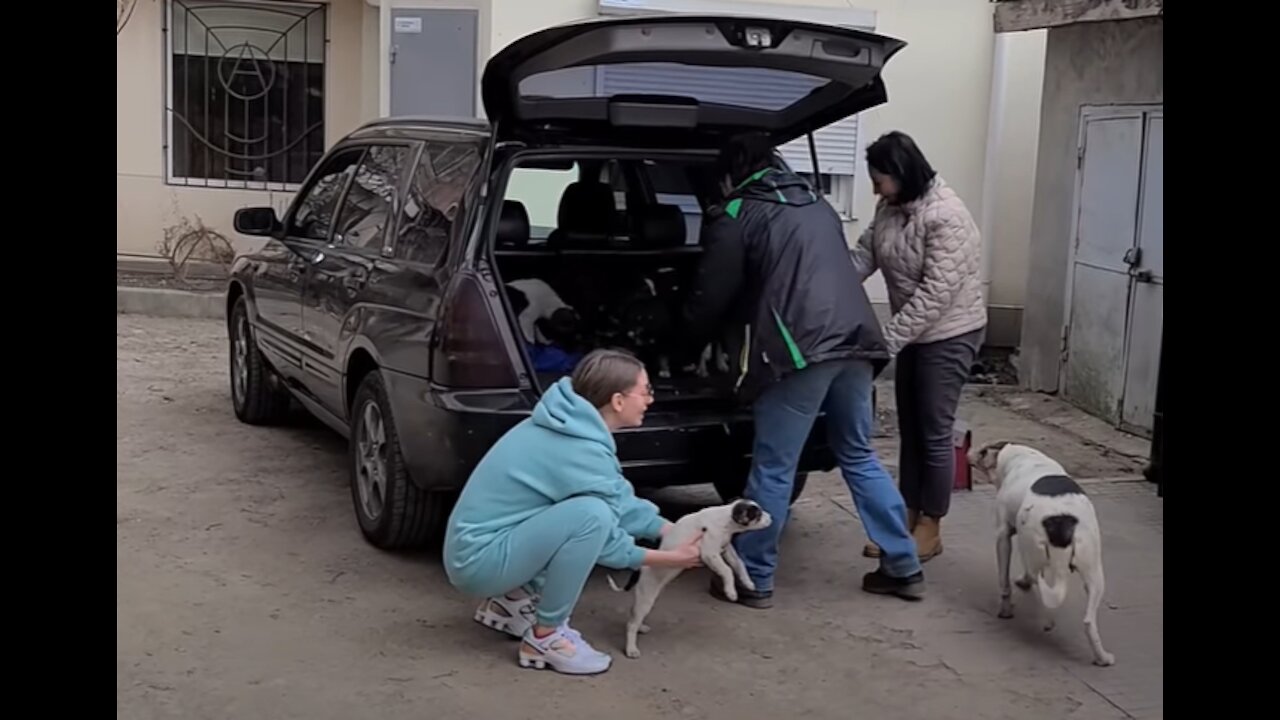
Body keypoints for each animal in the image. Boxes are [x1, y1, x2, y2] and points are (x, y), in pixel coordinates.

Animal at [606, 499, 773, 655]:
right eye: (757, 515)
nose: (771, 517)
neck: (725, 519)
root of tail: (640, 568)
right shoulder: (709, 553)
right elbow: (727, 571)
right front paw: (731, 592)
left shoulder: (726, 550)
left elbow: (739, 564)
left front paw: (748, 582)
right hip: (646, 596)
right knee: (631, 624)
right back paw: (631, 649)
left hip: (649, 597)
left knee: (634, 616)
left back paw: (641, 627)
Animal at [972, 440, 1116, 666]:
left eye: (982, 451)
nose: (968, 453)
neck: (1018, 457)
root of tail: (1062, 521)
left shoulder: (1003, 536)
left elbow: (1004, 583)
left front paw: (1006, 609)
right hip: (1094, 571)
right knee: (1087, 621)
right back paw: (1102, 658)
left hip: (1032, 549)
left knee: (1042, 591)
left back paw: (1045, 620)